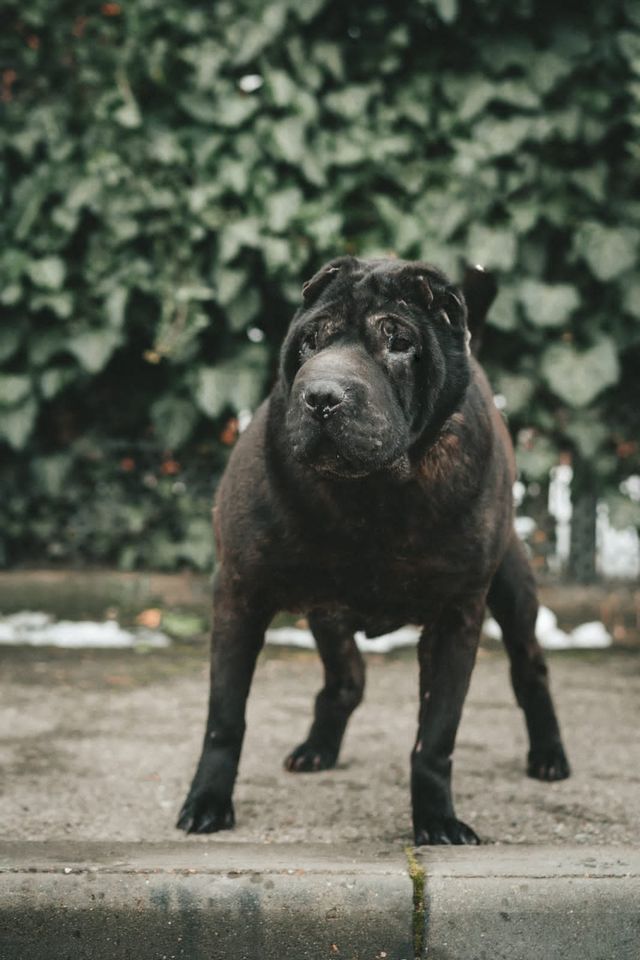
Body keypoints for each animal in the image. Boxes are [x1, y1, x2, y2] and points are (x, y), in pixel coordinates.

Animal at [176, 256, 568, 848]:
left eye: (399, 340)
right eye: (309, 341)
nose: (322, 396)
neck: (371, 495)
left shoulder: (457, 615)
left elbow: (435, 736)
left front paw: (437, 820)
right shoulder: (240, 594)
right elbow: (225, 716)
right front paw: (207, 802)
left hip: (513, 589)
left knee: (531, 668)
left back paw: (548, 756)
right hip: (325, 611)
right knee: (347, 678)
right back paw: (317, 748)